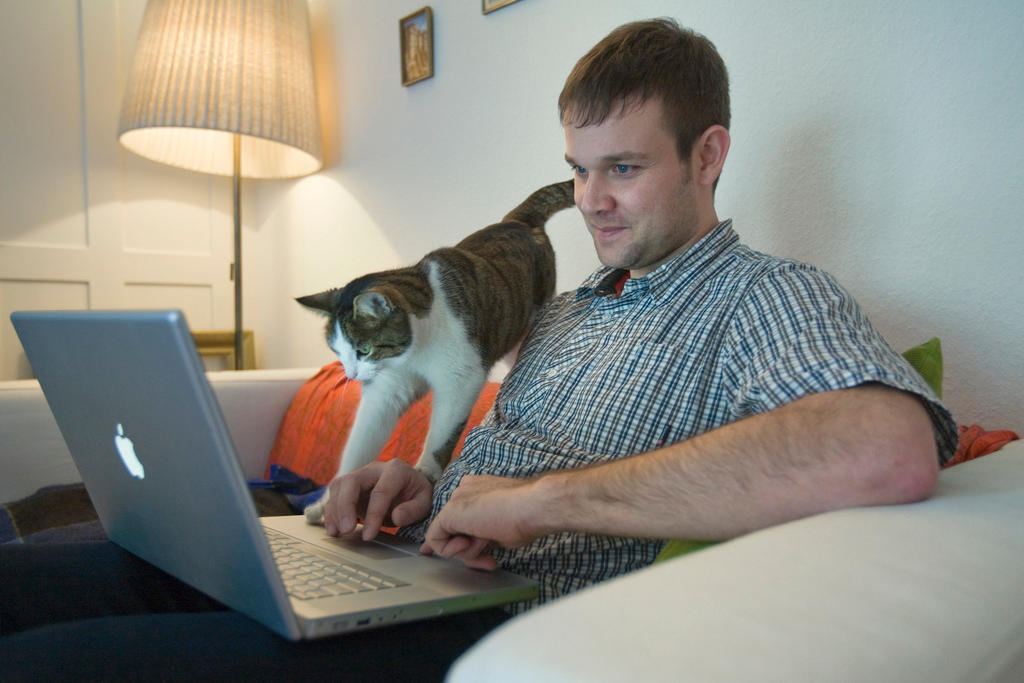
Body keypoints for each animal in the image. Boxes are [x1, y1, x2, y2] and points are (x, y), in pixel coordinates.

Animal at [296, 180, 577, 524]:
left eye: (363, 350)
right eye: (338, 352)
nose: (351, 374)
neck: (414, 350)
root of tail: (518, 221)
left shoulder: (461, 377)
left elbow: (442, 433)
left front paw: (425, 472)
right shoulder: (388, 388)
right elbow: (360, 442)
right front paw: (330, 501)